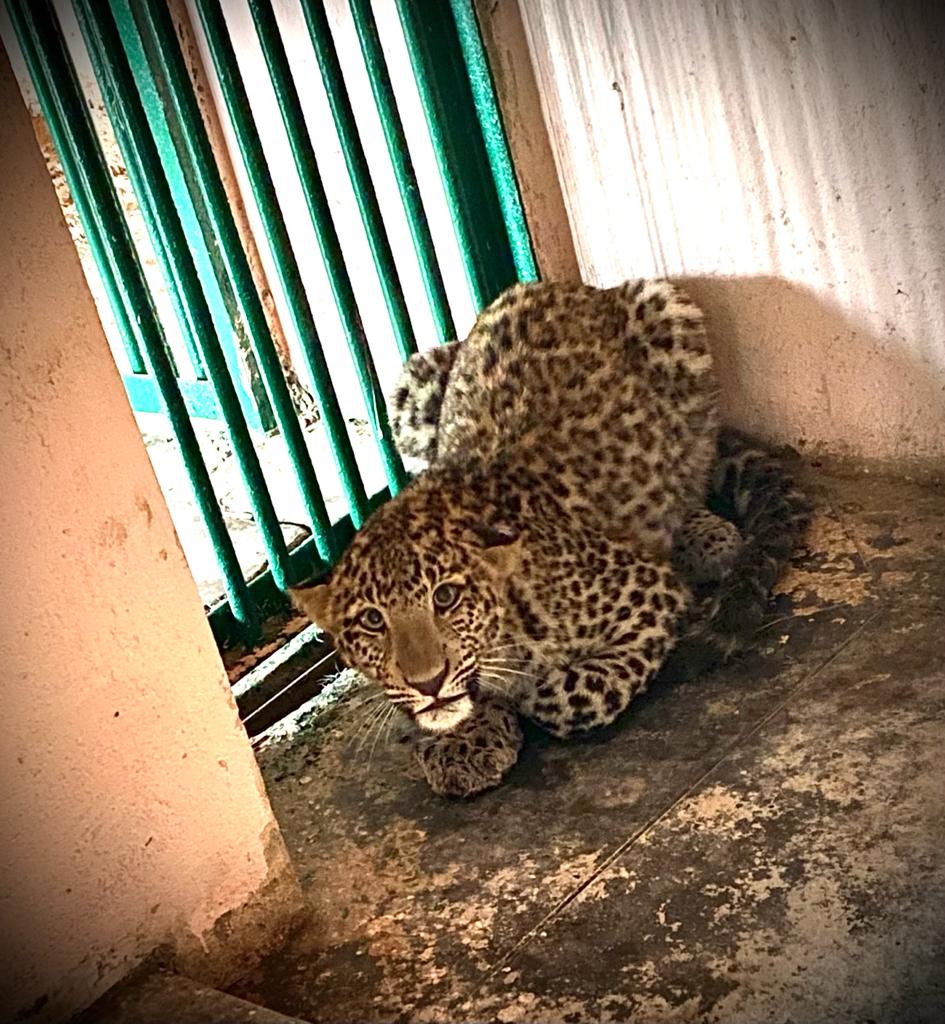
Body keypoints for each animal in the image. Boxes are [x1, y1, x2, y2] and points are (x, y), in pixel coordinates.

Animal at [292, 282, 810, 798]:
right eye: (372, 621)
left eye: (446, 597)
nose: (428, 681)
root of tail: (575, 287)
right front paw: (461, 738)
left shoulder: (650, 596)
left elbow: (562, 699)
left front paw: (506, 699)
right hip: (412, 383)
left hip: (671, 317)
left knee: (693, 463)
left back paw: (706, 536)